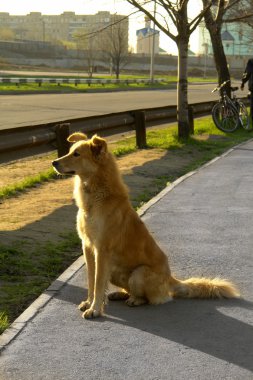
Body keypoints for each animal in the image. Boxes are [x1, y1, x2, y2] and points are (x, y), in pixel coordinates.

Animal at [52, 132, 239, 320]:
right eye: (69, 151)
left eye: (76, 154)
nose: (53, 162)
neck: (96, 198)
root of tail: (171, 278)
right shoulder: (88, 248)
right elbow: (91, 280)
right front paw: (89, 302)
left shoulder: (102, 250)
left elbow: (98, 283)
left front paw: (95, 309)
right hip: (115, 271)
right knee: (128, 290)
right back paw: (120, 294)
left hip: (138, 273)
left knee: (151, 298)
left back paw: (135, 300)